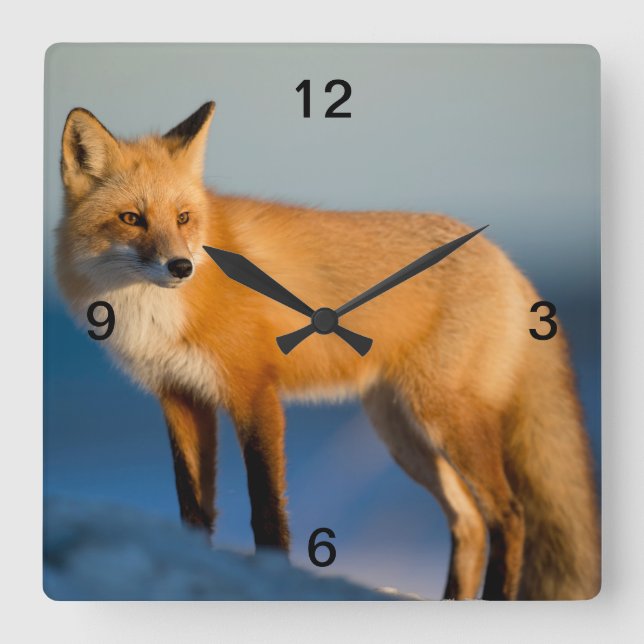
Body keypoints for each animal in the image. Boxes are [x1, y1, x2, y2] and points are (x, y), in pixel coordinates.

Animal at [56, 101, 600, 600]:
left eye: (184, 218)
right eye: (132, 219)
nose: (181, 267)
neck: (155, 313)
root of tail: (508, 263)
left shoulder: (254, 393)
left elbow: (266, 508)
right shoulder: (180, 397)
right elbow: (193, 508)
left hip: (444, 418)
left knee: (509, 514)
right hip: (403, 434)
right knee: (468, 522)